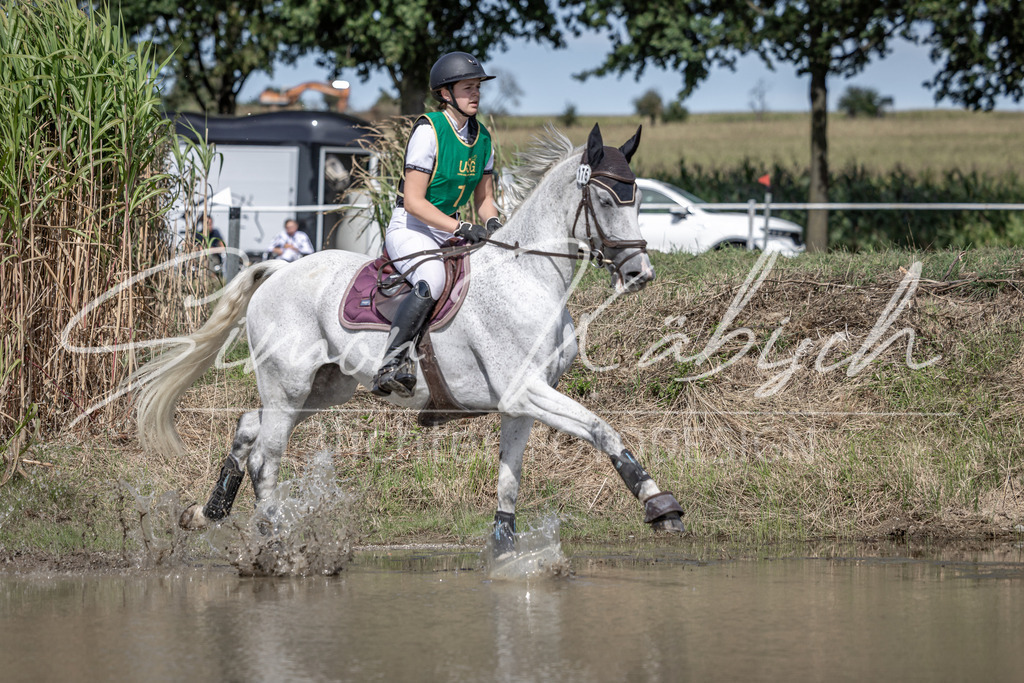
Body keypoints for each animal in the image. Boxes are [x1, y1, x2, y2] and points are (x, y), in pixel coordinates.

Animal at [134, 123, 685, 553]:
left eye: (639, 199)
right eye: (608, 199)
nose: (640, 273)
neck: (529, 276)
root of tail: (277, 270)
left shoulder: (520, 402)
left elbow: (509, 484)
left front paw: (504, 552)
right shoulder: (525, 389)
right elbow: (602, 429)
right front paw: (659, 505)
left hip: (323, 387)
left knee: (250, 428)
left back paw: (206, 512)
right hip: (287, 384)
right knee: (266, 460)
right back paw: (272, 539)